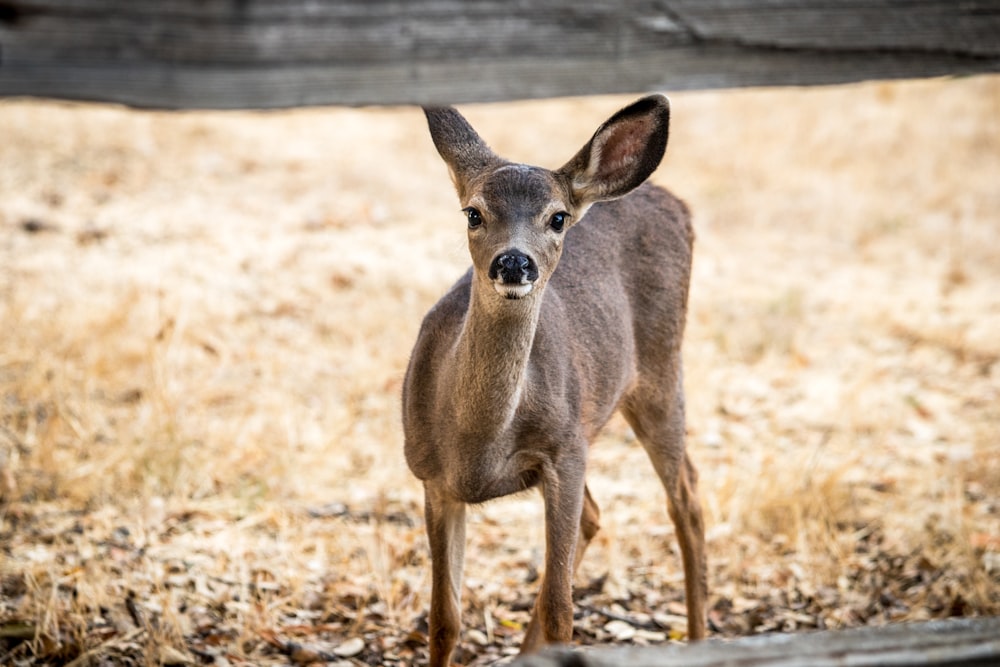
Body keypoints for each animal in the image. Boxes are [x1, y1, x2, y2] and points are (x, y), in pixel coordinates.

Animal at [402, 92, 708, 664]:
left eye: (558, 218)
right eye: (473, 212)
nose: (514, 262)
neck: (474, 445)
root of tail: (673, 199)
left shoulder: (563, 453)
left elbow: (562, 610)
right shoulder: (432, 478)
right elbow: (444, 619)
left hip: (660, 369)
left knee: (687, 499)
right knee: (598, 515)